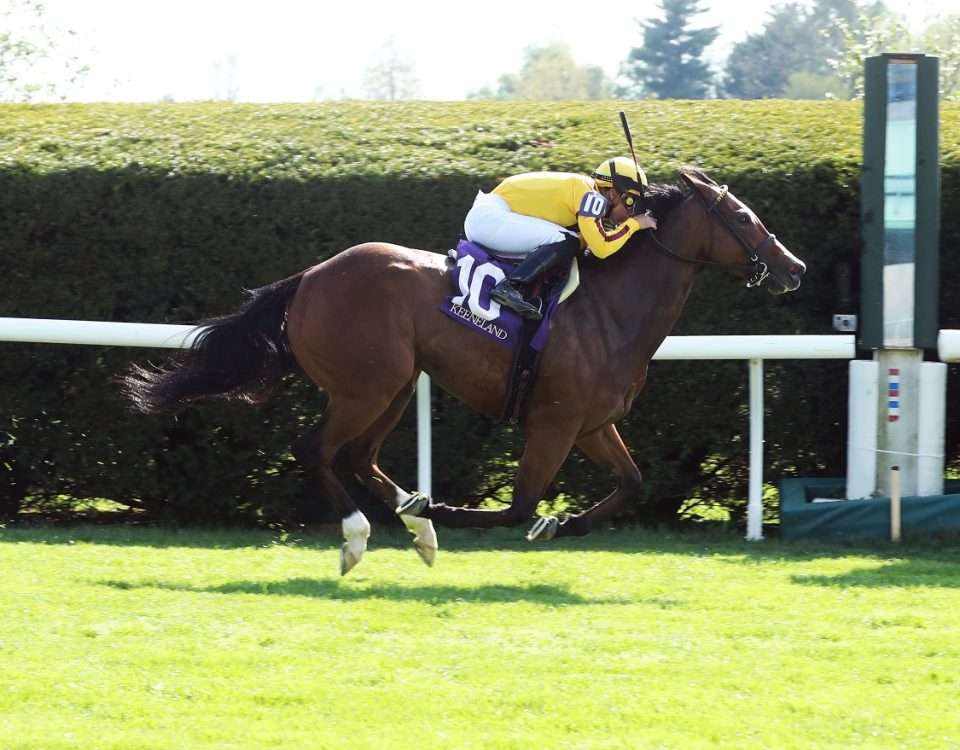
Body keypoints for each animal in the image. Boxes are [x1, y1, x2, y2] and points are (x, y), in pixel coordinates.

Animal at [124, 166, 808, 576]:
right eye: (742, 217)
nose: (795, 267)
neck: (611, 308)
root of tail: (308, 278)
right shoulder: (553, 425)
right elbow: (516, 507)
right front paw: (453, 512)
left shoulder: (590, 425)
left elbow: (632, 483)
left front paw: (562, 524)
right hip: (367, 385)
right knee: (315, 448)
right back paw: (365, 533)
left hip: (396, 384)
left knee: (360, 456)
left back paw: (414, 522)